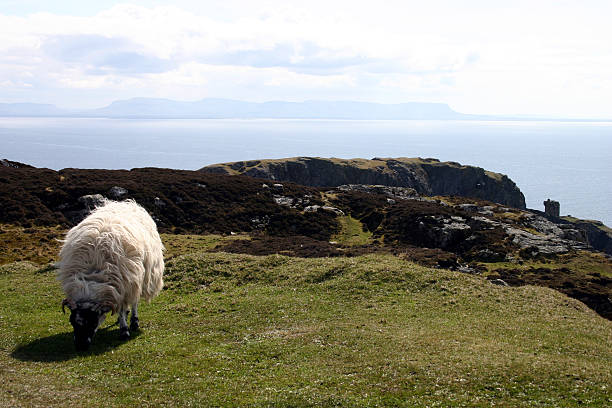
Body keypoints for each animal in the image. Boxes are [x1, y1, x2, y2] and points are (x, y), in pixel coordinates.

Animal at [57, 199, 165, 350]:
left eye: (93, 322)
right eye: (72, 322)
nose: (81, 346)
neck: (92, 277)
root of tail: (126, 203)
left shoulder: (125, 284)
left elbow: (122, 307)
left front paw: (124, 330)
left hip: (138, 277)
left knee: (134, 301)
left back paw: (134, 321)